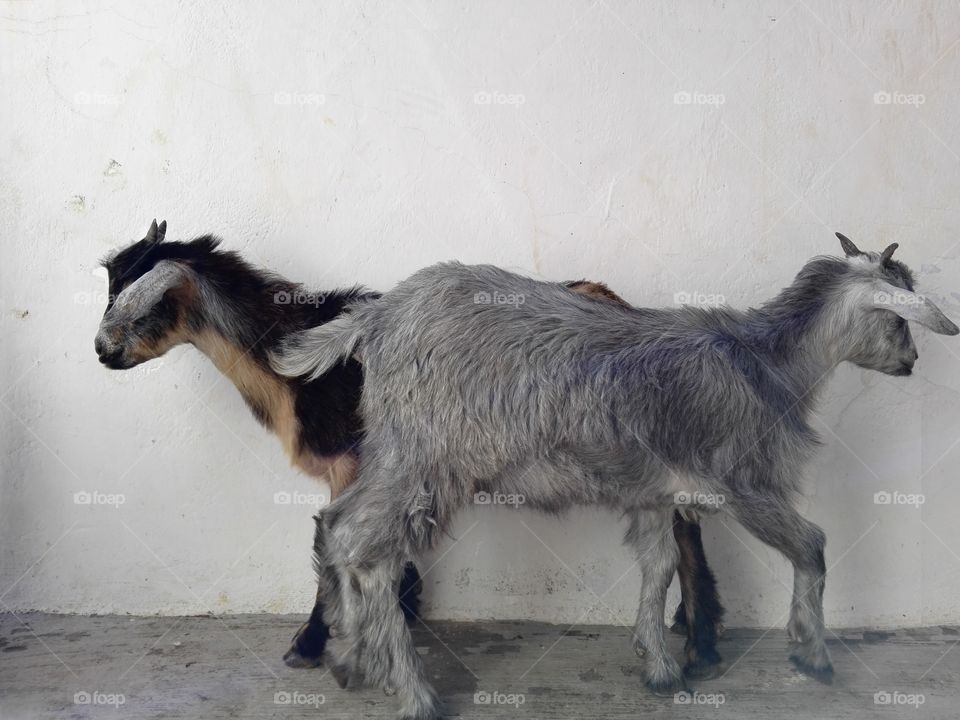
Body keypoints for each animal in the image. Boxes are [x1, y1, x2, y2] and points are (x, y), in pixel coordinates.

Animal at [94, 220, 725, 676]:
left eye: (150, 301)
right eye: (109, 285)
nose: (101, 351)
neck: (290, 364)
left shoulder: (353, 462)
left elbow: (331, 540)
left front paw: (316, 642)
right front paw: (400, 611)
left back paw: (701, 648)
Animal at [273, 234, 958, 720]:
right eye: (897, 318)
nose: (911, 360)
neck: (770, 363)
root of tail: (379, 317)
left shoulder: (655, 495)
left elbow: (659, 568)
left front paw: (659, 667)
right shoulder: (742, 484)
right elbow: (811, 544)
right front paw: (811, 653)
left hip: (394, 451)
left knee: (336, 525)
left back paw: (349, 657)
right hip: (427, 457)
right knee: (367, 547)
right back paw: (412, 691)